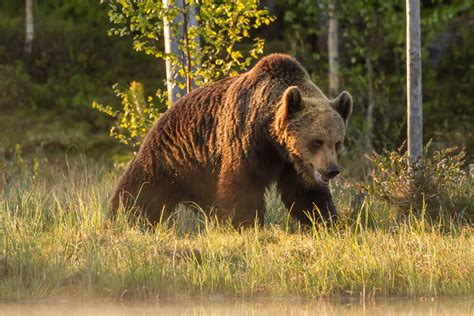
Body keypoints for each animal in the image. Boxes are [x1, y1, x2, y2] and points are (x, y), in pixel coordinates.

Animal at [109, 53, 350, 227]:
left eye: (337, 142)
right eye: (317, 141)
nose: (332, 170)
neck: (273, 139)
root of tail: (164, 114)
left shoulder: (293, 164)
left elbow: (305, 194)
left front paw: (326, 221)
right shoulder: (247, 140)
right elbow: (242, 184)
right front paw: (244, 223)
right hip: (170, 157)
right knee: (140, 191)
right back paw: (121, 216)